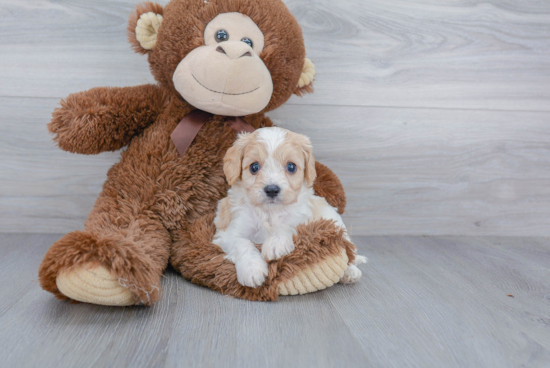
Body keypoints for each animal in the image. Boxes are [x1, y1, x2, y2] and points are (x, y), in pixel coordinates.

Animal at [213, 128, 368, 288]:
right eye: (254, 167)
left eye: (291, 167)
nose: (272, 189)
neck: (270, 212)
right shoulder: (229, 233)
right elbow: (242, 243)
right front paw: (252, 269)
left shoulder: (301, 221)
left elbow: (287, 226)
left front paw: (275, 244)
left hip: (333, 220)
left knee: (348, 250)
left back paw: (350, 272)